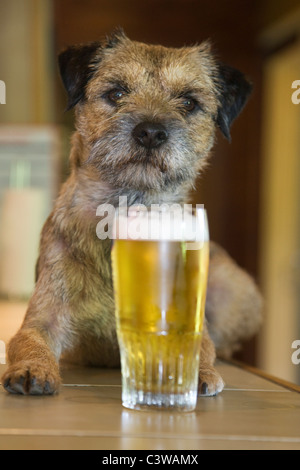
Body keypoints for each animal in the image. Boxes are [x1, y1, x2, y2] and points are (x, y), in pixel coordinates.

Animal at [1, 30, 262, 396]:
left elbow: (200, 344)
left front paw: (198, 371)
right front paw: (33, 368)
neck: (127, 206)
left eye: (189, 102)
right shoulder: (43, 318)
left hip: (235, 289)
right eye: (116, 93)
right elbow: (28, 343)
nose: (150, 131)